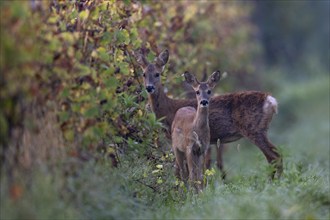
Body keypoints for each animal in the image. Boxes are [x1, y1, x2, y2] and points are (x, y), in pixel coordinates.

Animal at [135, 48, 284, 179]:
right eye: (143, 74)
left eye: (157, 74)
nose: (149, 87)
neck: (169, 110)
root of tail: (271, 100)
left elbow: (180, 170)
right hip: (260, 129)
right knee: (275, 156)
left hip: (253, 129)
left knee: (274, 156)